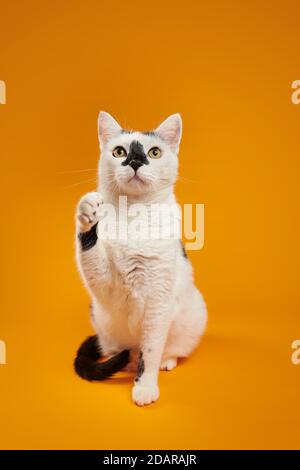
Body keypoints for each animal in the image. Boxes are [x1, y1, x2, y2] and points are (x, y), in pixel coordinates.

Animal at [74, 112, 207, 406]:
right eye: (119, 152)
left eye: (154, 152)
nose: (135, 161)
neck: (132, 215)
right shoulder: (104, 283)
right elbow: (90, 248)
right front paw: (88, 212)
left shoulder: (157, 301)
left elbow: (151, 350)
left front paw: (145, 388)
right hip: (101, 319)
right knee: (119, 350)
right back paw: (123, 359)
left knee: (165, 350)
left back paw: (164, 361)